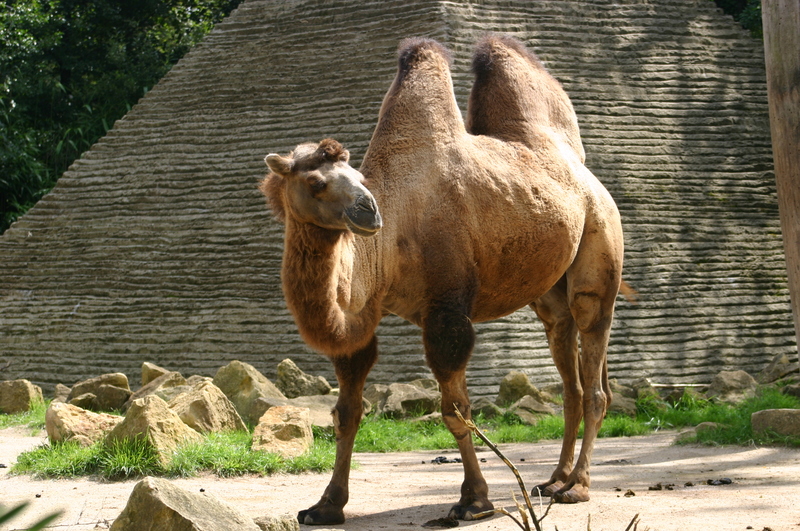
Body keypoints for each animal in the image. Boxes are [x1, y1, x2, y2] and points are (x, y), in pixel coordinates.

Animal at [262, 35, 624, 524]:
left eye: (358, 177)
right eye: (317, 183)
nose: (369, 211)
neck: (390, 243)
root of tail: (585, 172)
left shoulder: (446, 311)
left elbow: (455, 411)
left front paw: (474, 500)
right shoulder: (360, 320)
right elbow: (347, 412)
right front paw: (325, 505)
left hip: (599, 243)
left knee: (594, 367)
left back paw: (578, 488)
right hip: (551, 291)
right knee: (569, 367)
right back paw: (554, 480)